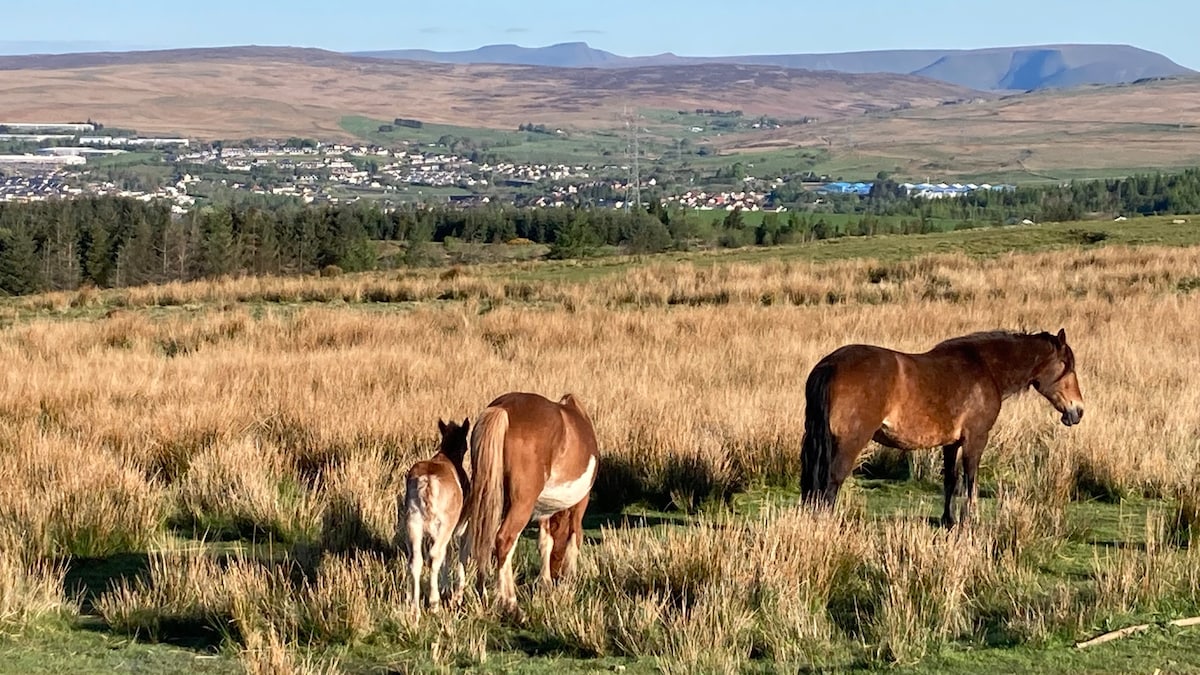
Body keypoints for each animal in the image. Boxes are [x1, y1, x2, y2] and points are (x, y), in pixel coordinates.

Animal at [403, 415, 468, 610]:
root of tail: (427, 481)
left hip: (413, 525)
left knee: (415, 560)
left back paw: (414, 607)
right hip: (444, 527)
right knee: (434, 555)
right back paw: (434, 603)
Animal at [465, 389, 600, 610]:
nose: (556, 575)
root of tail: (504, 408)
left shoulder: (544, 509)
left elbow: (545, 542)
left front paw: (544, 582)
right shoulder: (580, 504)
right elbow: (575, 537)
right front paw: (568, 582)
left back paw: (482, 593)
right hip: (522, 505)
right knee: (504, 540)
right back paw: (510, 602)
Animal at [801, 329, 1084, 523]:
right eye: (1067, 366)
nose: (1078, 411)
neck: (986, 368)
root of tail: (830, 365)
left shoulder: (951, 443)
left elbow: (950, 480)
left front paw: (949, 520)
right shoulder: (975, 439)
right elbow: (971, 479)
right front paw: (972, 519)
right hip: (850, 442)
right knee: (831, 481)